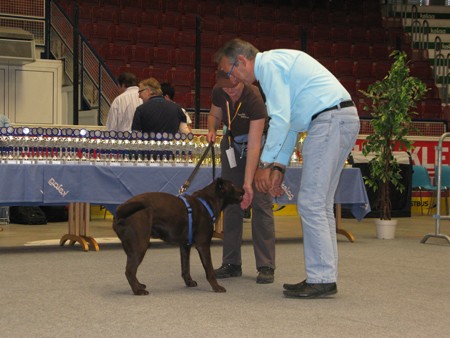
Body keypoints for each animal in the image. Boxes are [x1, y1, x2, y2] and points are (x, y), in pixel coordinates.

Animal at [114, 178, 244, 294]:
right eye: (232, 185)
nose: (243, 190)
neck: (207, 202)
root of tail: (119, 213)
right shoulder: (203, 245)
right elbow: (209, 269)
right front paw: (216, 287)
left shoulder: (185, 246)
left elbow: (185, 267)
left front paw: (189, 282)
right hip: (140, 245)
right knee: (129, 271)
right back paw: (138, 290)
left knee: (131, 269)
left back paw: (139, 285)